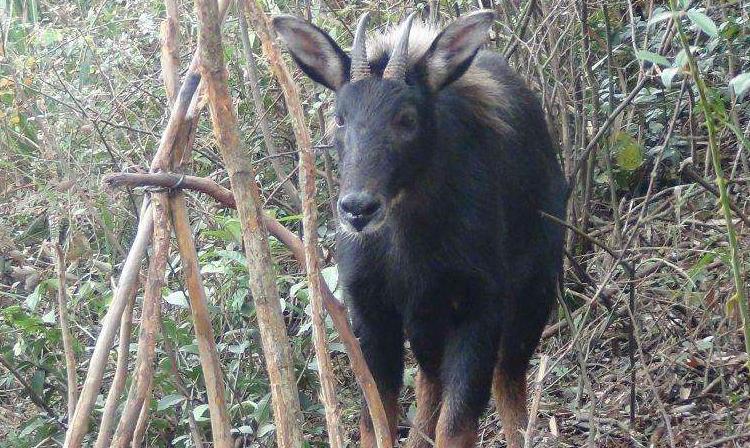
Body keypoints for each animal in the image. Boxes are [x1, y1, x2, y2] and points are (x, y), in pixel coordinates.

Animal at [274, 10, 564, 448]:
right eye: (340, 118)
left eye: (407, 118)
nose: (358, 208)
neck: (407, 246)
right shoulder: (372, 309)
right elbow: (375, 422)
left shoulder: (481, 306)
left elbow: (456, 426)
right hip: (426, 318)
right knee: (431, 382)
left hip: (533, 295)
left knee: (507, 382)